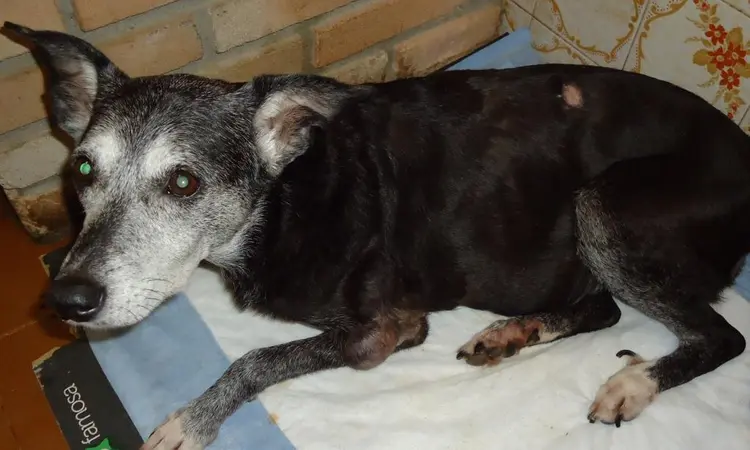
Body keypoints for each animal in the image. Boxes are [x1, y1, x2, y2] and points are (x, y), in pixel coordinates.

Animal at [2, 23, 748, 450]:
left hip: (602, 204)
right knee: (602, 309)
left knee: (720, 337)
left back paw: (637, 383)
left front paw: (193, 420)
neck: (284, 199)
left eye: (184, 183)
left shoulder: (384, 330)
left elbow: (258, 359)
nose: (67, 299)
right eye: (83, 170)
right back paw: (513, 332)